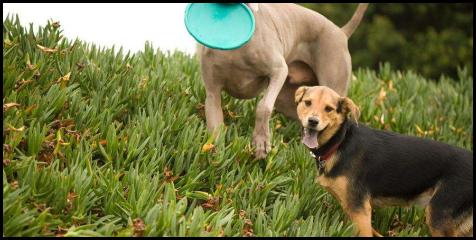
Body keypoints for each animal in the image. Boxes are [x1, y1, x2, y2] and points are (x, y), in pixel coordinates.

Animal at [197, 3, 368, 159]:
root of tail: (341, 32)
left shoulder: (278, 70)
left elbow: (263, 106)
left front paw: (261, 143)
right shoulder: (212, 94)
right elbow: (215, 125)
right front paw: (216, 156)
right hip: (289, 101)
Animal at [294, 86, 472, 236]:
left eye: (329, 109)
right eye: (307, 103)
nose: (313, 121)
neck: (341, 142)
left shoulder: (359, 210)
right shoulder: (351, 209)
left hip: (439, 215)